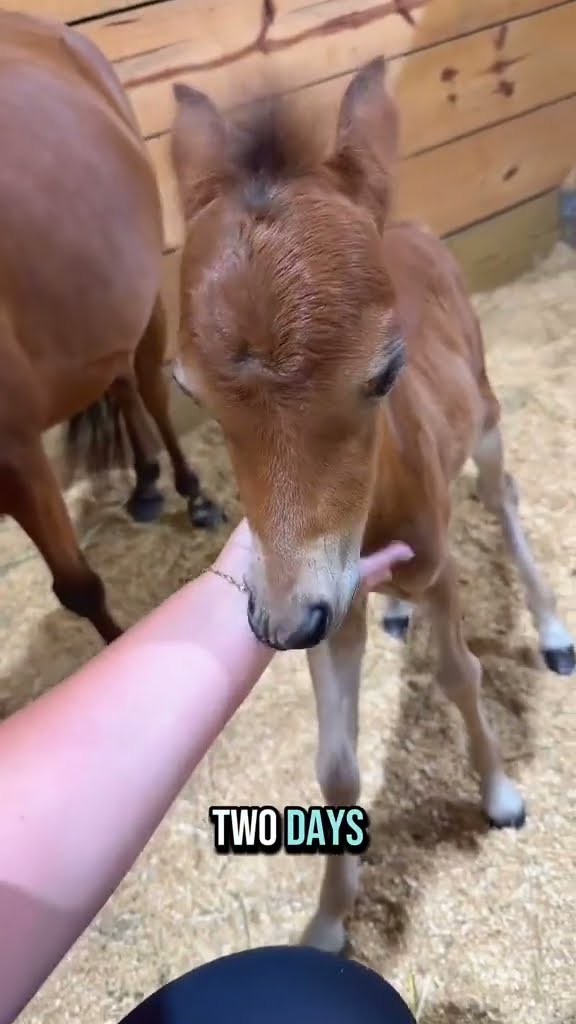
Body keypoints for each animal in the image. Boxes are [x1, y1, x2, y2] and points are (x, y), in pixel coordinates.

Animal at [0, 11, 222, 645]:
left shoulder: (17, 456)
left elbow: (78, 586)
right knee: (120, 382)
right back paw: (145, 483)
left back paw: (192, 494)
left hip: (145, 303)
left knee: (151, 392)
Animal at [169, 58, 575, 953]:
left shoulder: (435, 565)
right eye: (191, 392)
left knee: (504, 494)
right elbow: (335, 763)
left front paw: (500, 797)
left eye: (387, 371)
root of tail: (415, 228)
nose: (282, 623)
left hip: (486, 419)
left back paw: (554, 630)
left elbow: (460, 671)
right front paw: (327, 919)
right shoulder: (328, 602)